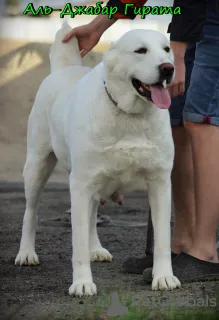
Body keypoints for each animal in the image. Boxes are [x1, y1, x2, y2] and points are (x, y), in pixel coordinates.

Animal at [15, 22, 180, 296]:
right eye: (140, 50)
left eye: (166, 49)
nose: (168, 68)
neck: (129, 116)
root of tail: (63, 69)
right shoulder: (79, 185)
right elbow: (77, 245)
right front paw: (82, 283)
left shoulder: (160, 184)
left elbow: (163, 240)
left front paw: (163, 277)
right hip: (37, 166)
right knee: (31, 211)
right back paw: (26, 253)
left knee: (92, 216)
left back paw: (96, 249)